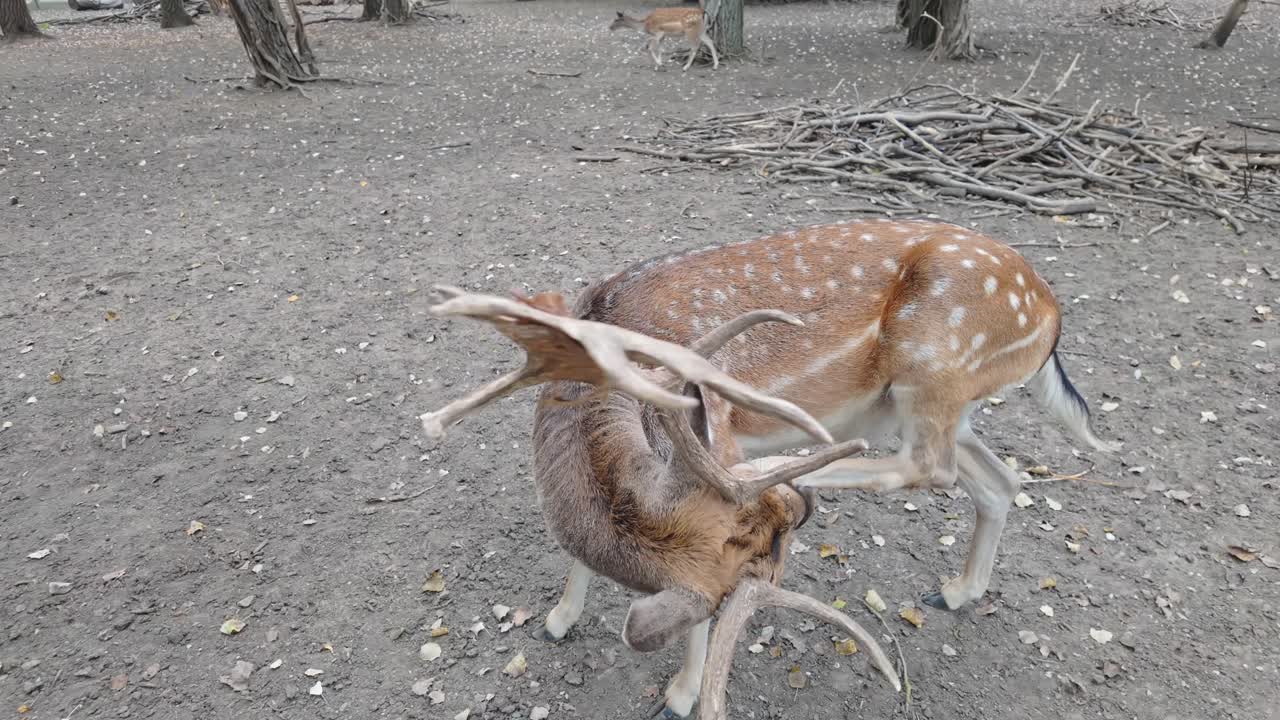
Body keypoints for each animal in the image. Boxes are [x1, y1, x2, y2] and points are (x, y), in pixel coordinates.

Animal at [419, 217, 1116, 719]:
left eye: (725, 601)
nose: (789, 524)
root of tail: (1049, 314)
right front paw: (559, 621)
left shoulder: (717, 430)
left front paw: (679, 695)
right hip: (932, 405)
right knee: (1001, 480)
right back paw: (955, 590)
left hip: (934, 370)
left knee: (932, 467)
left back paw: (809, 474)